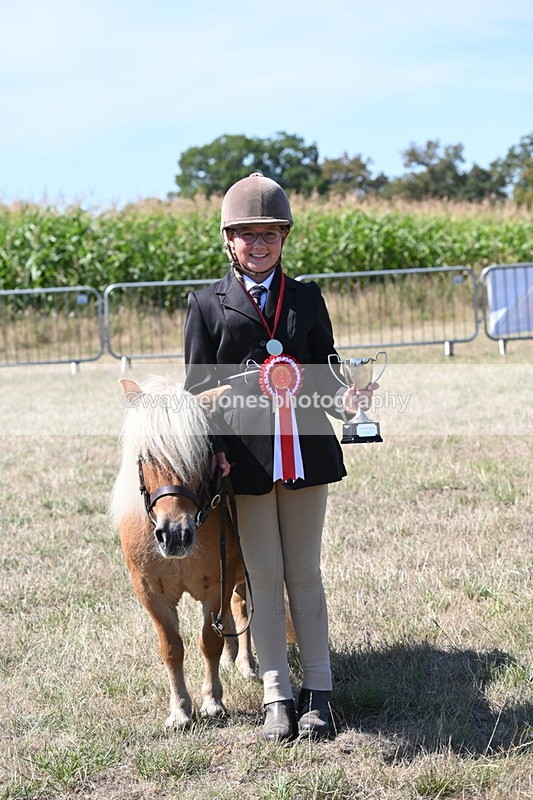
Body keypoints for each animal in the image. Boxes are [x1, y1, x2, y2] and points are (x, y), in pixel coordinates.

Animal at [110, 376, 255, 729]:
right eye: (145, 456)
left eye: (200, 453)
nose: (175, 535)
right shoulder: (151, 594)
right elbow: (172, 648)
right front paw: (179, 711)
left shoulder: (216, 586)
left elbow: (209, 642)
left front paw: (212, 702)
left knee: (242, 609)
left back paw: (246, 663)